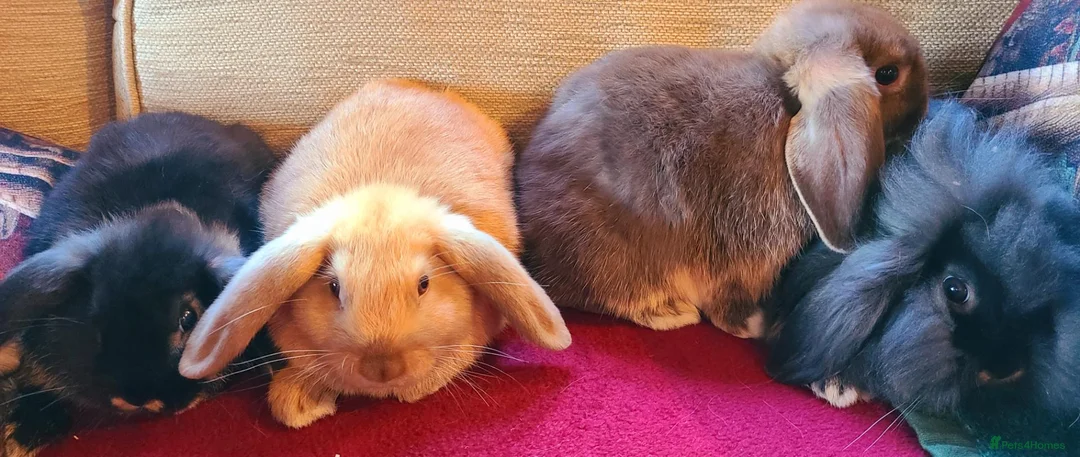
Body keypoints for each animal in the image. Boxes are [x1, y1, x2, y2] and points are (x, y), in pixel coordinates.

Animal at [513, 0, 929, 338]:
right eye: (888, 74)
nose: (924, 109)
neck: (785, 99)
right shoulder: (748, 249)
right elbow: (729, 305)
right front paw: (758, 325)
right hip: (612, 254)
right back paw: (671, 312)